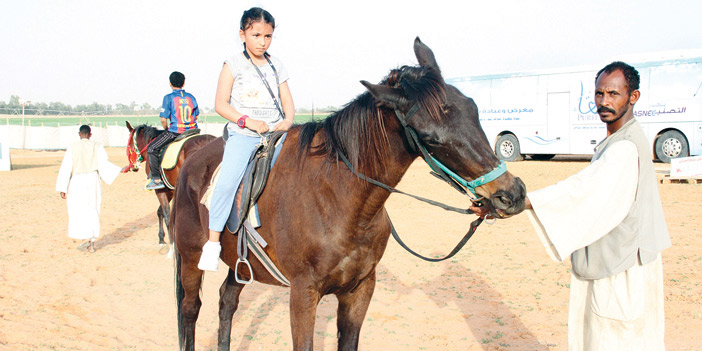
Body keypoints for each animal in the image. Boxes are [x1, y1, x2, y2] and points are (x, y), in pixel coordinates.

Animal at [124, 122, 216, 254]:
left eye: (129, 143)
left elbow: (167, 214)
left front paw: (172, 246)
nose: (133, 167)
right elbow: (160, 212)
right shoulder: (171, 189)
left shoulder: (161, 190)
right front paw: (161, 240)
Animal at [172, 37, 528, 350]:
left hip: (239, 262)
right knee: (190, 309)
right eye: (431, 138)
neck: (340, 200)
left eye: (473, 109)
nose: (511, 194)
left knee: (227, 301)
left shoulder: (360, 290)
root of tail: (193, 157)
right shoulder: (303, 294)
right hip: (190, 257)